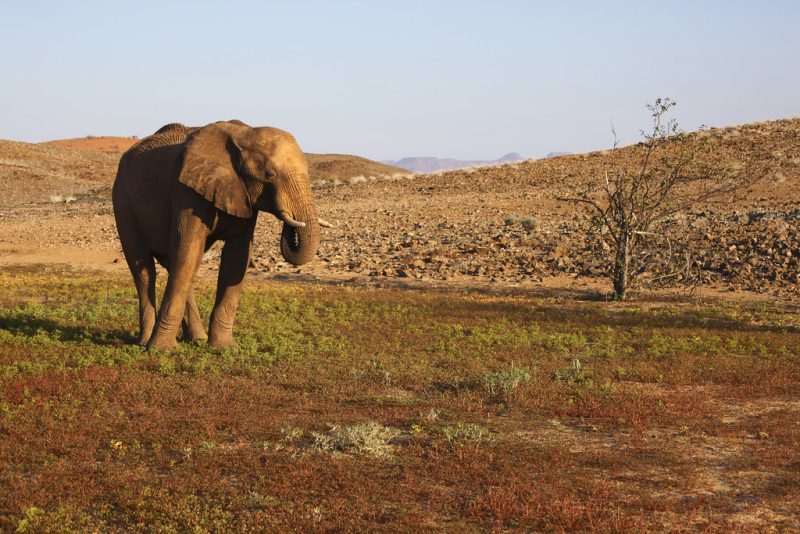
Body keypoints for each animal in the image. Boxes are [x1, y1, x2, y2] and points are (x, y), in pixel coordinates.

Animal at [112, 120, 330, 350]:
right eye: (270, 175)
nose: (290, 224)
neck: (244, 133)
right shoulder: (187, 192)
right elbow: (188, 251)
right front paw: (161, 349)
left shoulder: (243, 195)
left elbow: (236, 257)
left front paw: (224, 347)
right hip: (122, 203)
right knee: (146, 270)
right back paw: (145, 341)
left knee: (176, 268)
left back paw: (197, 339)